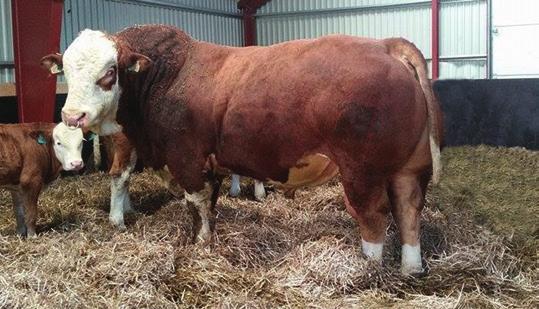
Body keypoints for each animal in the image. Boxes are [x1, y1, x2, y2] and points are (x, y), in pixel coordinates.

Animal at [43, 25, 442, 274]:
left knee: (373, 216)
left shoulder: (186, 159)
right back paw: (411, 269)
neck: (165, 76)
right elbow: (210, 201)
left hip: (362, 172)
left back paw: (367, 269)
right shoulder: (210, 161)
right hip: (410, 169)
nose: (72, 115)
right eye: (66, 71)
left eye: (110, 71)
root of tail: (384, 44)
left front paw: (201, 243)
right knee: (408, 212)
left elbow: (196, 203)